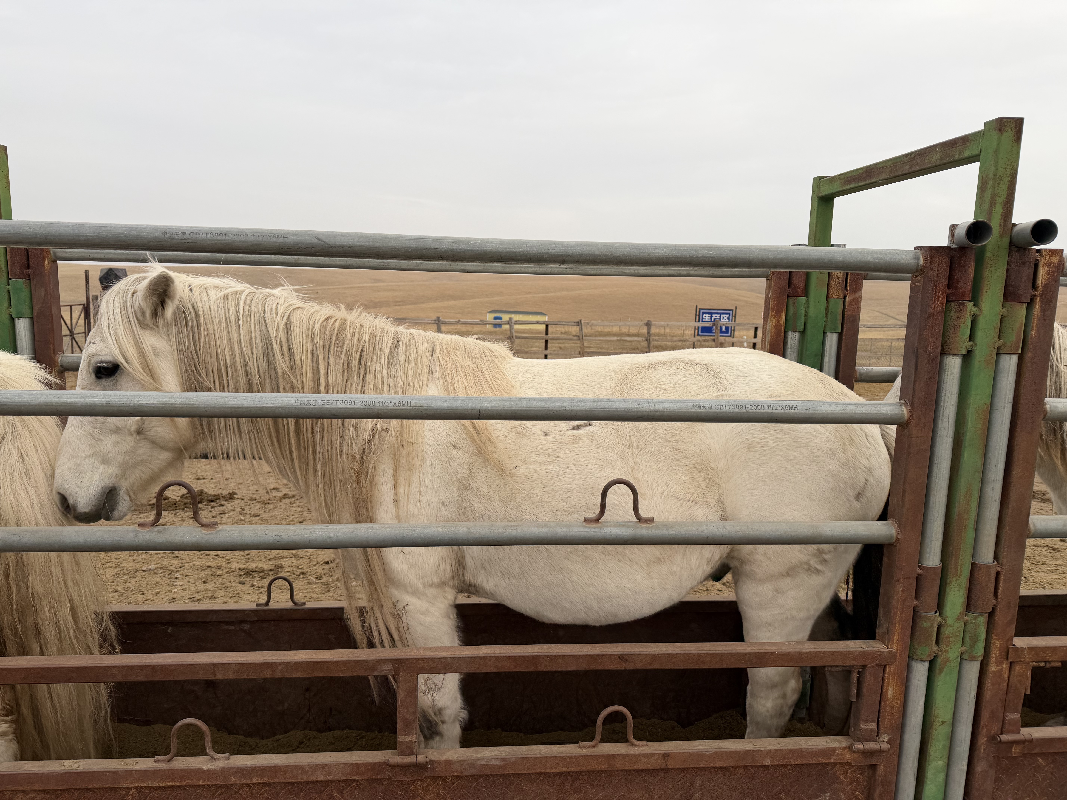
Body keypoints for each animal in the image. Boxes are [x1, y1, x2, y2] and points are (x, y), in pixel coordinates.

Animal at [53, 268, 892, 747]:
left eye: (105, 368)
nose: (67, 497)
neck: (380, 420)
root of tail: (859, 413)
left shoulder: (421, 596)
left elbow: (436, 712)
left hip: (777, 588)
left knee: (772, 698)